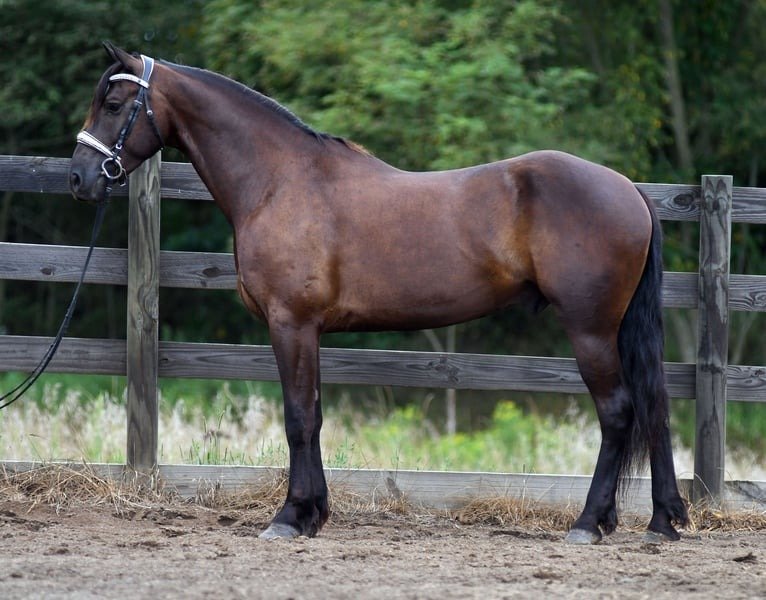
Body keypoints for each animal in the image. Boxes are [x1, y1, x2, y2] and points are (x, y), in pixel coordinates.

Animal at [69, 43, 688, 543]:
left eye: (115, 105)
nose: (80, 179)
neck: (279, 181)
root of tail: (628, 189)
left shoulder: (291, 323)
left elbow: (298, 418)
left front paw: (290, 517)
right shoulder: (309, 330)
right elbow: (315, 414)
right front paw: (313, 513)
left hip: (590, 330)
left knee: (618, 412)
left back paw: (588, 524)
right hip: (617, 331)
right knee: (653, 408)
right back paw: (661, 520)